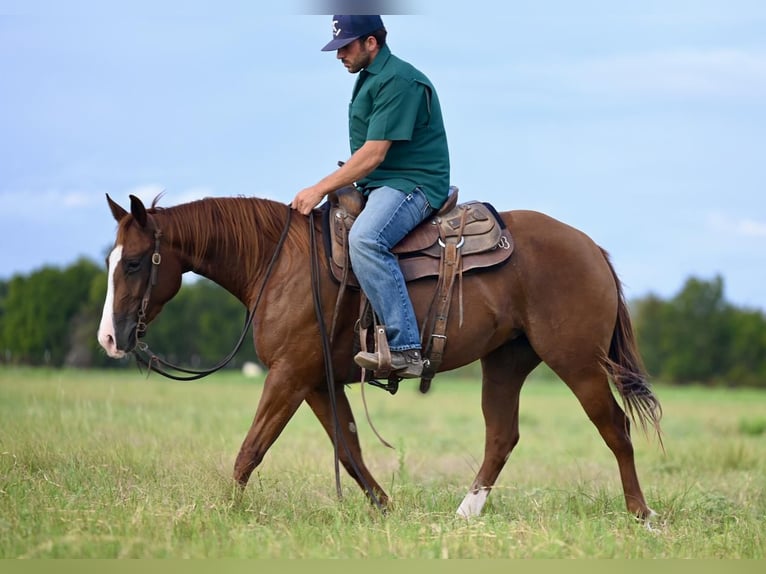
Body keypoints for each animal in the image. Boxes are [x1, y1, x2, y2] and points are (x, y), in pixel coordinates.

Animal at [97, 192, 664, 520]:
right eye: (110, 260)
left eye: (133, 263)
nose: (108, 338)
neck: (280, 263)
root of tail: (591, 248)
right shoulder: (316, 381)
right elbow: (348, 449)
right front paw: (386, 508)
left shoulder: (287, 376)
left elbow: (251, 448)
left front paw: (218, 513)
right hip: (505, 362)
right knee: (502, 436)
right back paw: (465, 513)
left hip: (579, 364)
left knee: (615, 428)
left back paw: (641, 515)